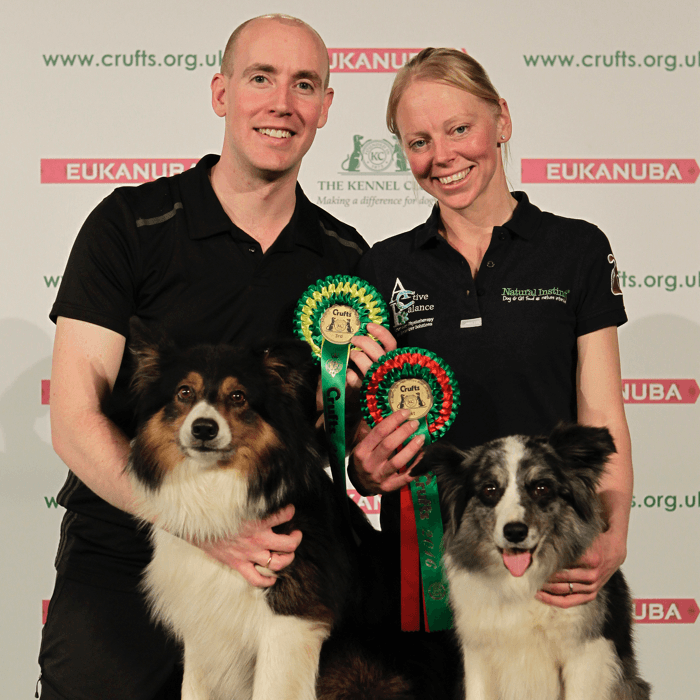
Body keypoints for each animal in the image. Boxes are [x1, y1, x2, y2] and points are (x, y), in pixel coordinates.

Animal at [122, 326, 396, 700]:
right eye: (184, 392)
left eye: (238, 396)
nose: (204, 428)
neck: (214, 485)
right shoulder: (202, 624)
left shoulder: (290, 622)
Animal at [416, 424, 652, 700]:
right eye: (489, 490)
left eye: (541, 488)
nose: (515, 532)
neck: (519, 583)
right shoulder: (477, 653)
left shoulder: (586, 654)